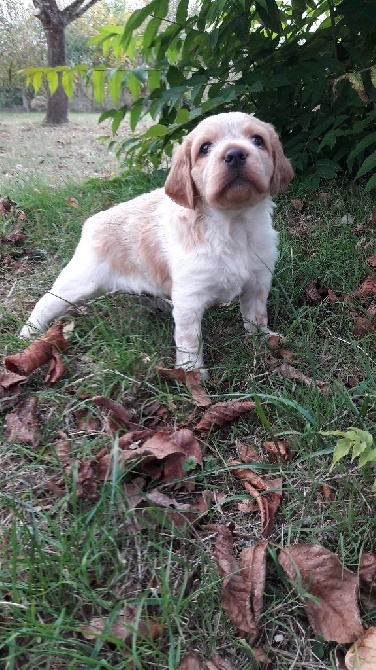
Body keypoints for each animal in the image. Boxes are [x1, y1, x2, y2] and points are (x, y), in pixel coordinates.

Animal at [20, 114, 294, 378]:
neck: (232, 224)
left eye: (257, 140)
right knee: (46, 302)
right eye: (205, 148)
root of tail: (92, 221)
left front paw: (264, 340)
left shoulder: (257, 282)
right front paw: (192, 374)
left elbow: (256, 317)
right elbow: (189, 341)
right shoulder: (190, 300)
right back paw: (28, 332)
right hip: (78, 282)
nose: (235, 154)